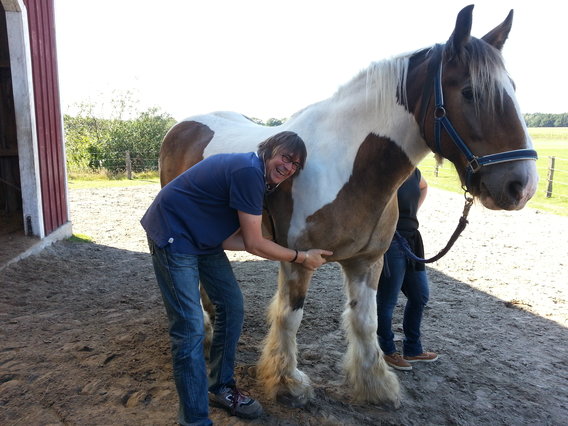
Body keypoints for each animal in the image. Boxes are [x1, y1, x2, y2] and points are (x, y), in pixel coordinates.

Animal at [156, 5, 536, 408]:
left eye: (513, 88)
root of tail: (183, 126)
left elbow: (366, 321)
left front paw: (375, 385)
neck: (347, 166)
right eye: (469, 92)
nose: (522, 185)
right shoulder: (298, 261)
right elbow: (290, 317)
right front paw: (287, 383)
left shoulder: (367, 262)